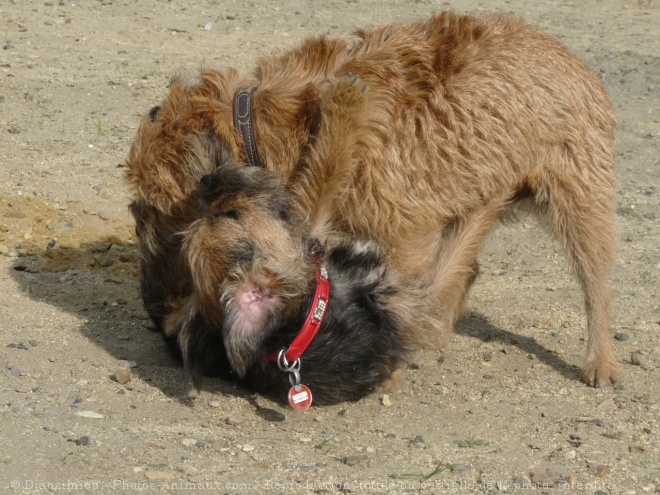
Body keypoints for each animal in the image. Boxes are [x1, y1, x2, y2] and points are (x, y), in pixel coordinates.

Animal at [126, 12, 620, 406]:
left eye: (146, 211)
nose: (154, 312)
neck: (274, 127)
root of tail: (573, 59)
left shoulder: (404, 234)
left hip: (580, 197)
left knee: (595, 282)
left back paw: (600, 361)